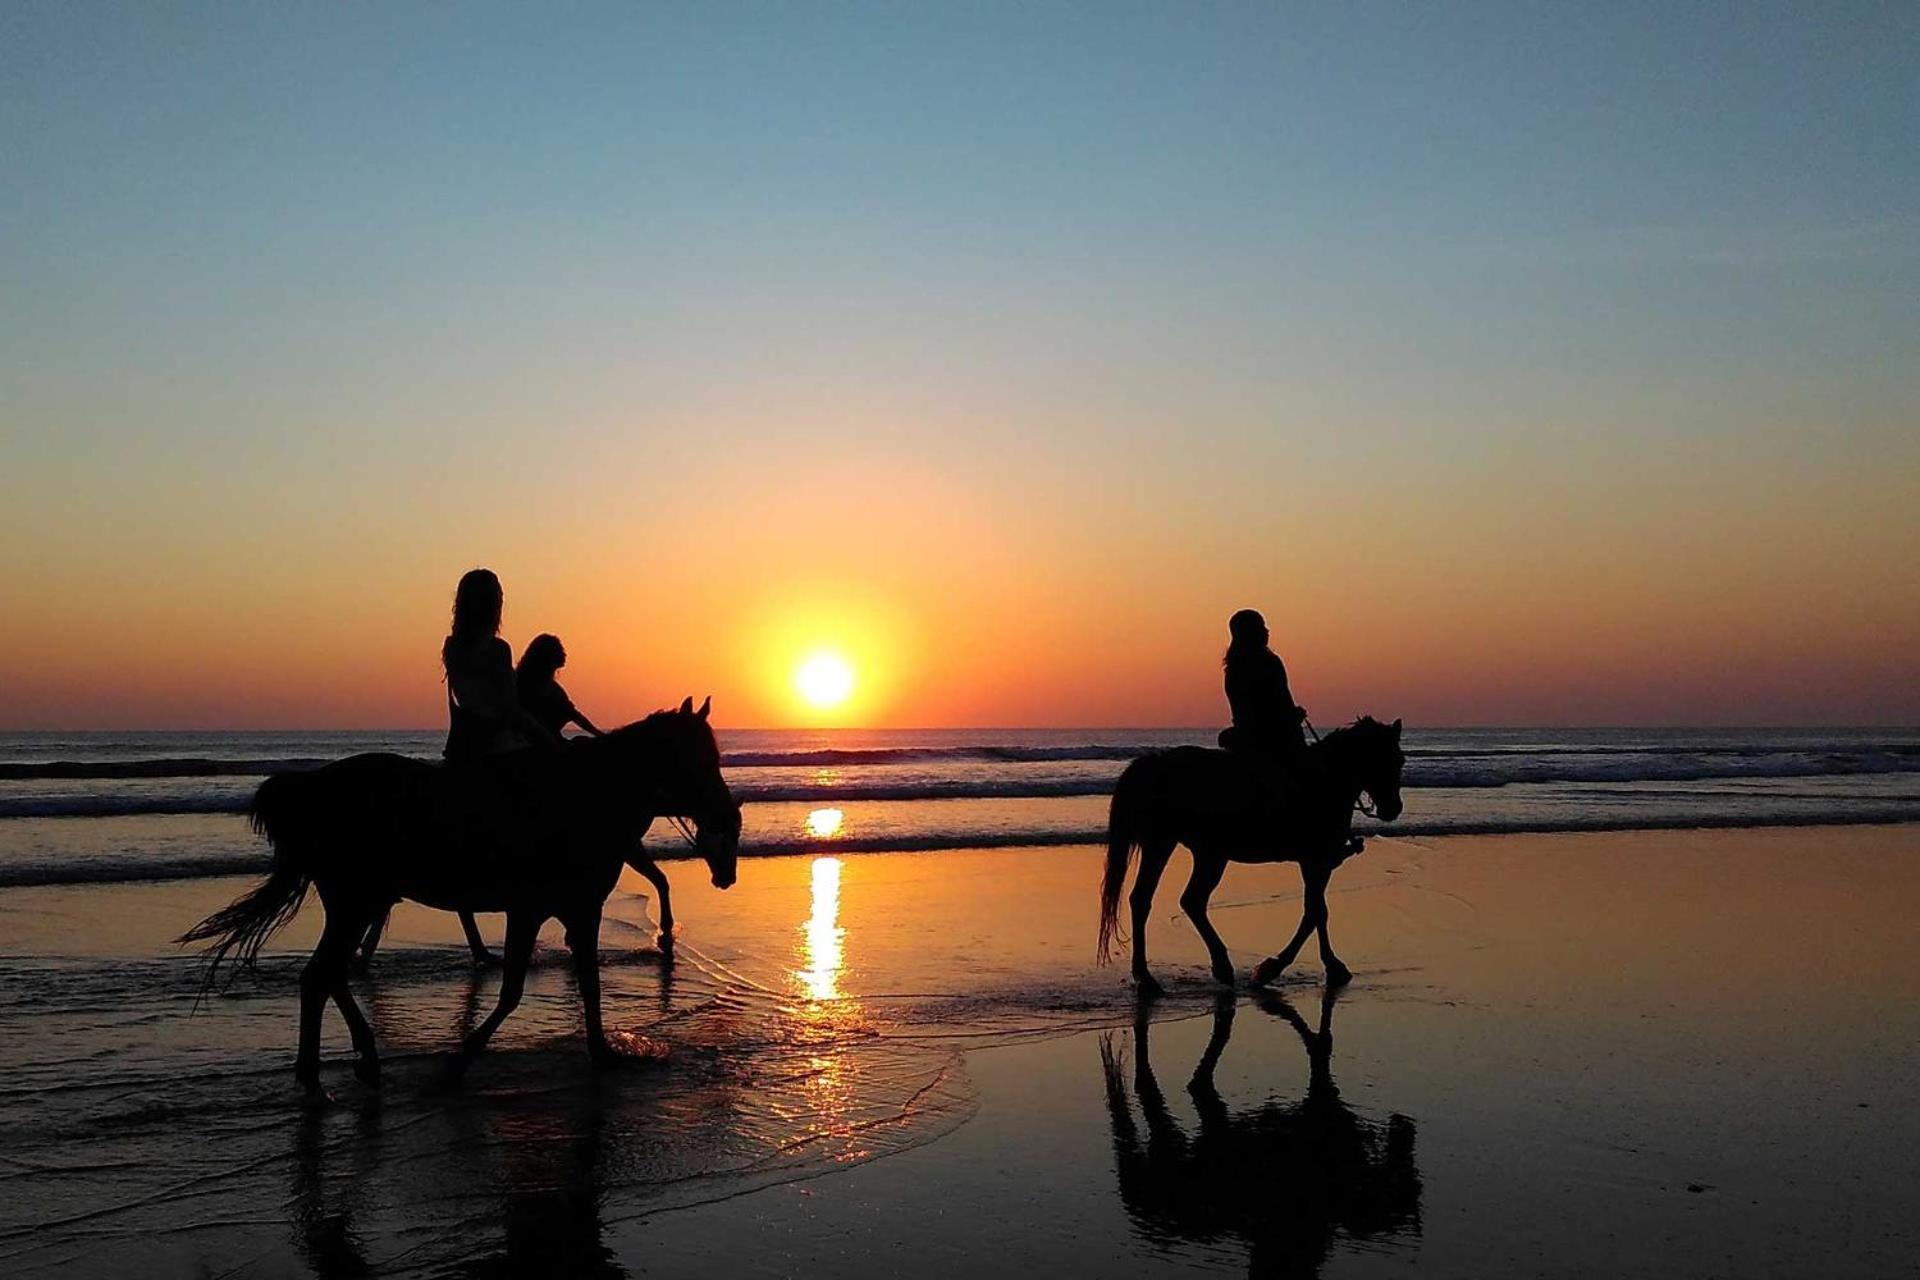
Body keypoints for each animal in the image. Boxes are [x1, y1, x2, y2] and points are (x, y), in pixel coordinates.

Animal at [185, 694, 741, 1097]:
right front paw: (460, 1061)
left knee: (326, 975)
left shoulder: (571, 911)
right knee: (323, 975)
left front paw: (601, 1053)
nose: (727, 816)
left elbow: (585, 985)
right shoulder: (539, 910)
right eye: (700, 758)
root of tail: (312, 789)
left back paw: (350, 1063)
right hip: (356, 901)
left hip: (357, 902)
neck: (583, 797)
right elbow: (519, 990)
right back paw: (323, 1077)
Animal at [1105, 717, 1405, 997]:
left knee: (1176, 900)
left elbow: (1316, 911)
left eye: (1399, 760)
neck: (1324, 781)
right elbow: (1316, 912)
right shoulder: (1315, 860)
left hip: (1198, 851)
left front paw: (1327, 966)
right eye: (1382, 758)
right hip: (1176, 846)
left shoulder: (1316, 863)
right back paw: (1155, 976)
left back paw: (1199, 969)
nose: (1393, 808)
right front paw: (1278, 968)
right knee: (1160, 899)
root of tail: (1153, 763)